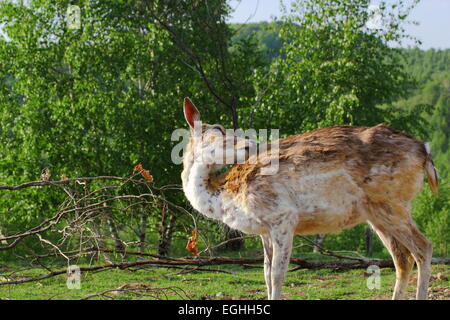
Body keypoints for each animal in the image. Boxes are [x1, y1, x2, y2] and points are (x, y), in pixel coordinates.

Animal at [180, 97, 440, 300]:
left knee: (424, 248)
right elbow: (265, 272)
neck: (224, 196)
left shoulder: (283, 216)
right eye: (218, 131)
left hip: (392, 203)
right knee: (403, 258)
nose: (250, 145)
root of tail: (426, 153)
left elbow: (278, 273)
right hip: (377, 214)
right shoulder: (264, 230)